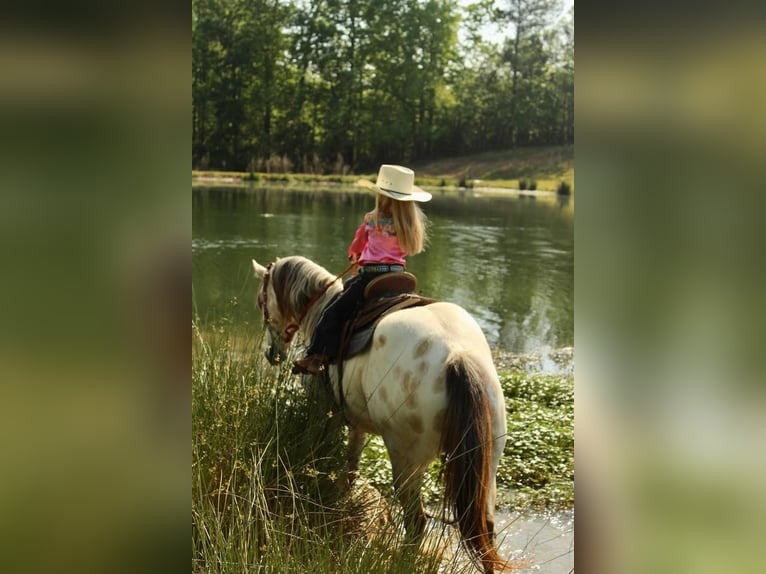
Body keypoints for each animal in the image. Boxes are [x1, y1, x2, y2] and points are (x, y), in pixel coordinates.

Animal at [252, 258, 516, 574]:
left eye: (262, 301)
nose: (271, 354)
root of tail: (457, 356)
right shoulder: (355, 423)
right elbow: (351, 465)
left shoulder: (326, 414)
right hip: (488, 462)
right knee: (485, 528)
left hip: (406, 461)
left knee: (416, 522)